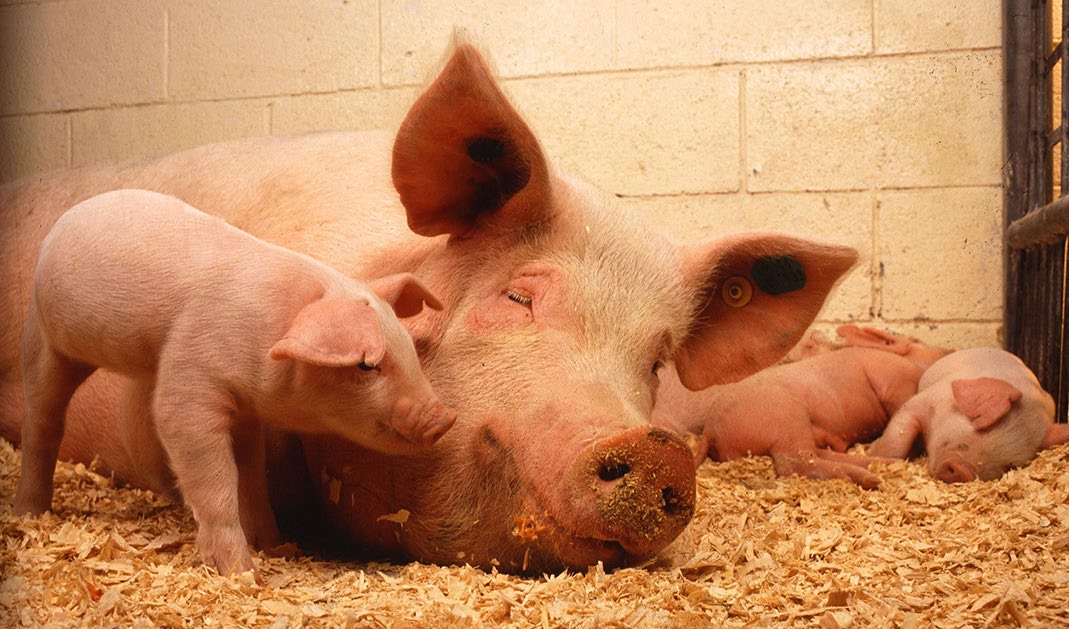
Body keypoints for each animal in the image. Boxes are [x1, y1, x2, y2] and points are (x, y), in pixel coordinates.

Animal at [13, 189, 455, 576]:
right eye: (366, 366)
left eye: (408, 347)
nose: (444, 418)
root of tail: (64, 221)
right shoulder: (189, 377)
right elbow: (213, 476)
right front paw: (241, 571)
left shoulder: (246, 412)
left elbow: (252, 478)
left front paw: (276, 547)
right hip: (44, 339)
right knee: (42, 421)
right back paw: (30, 513)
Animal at [653, 348, 925, 488]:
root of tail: (710, 429)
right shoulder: (894, 384)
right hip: (788, 416)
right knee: (794, 463)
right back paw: (865, 478)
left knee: (814, 455)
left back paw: (879, 469)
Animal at [868, 347, 1069, 482]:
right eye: (981, 426)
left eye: (1009, 465)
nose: (963, 471)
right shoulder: (922, 401)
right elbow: (898, 437)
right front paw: (880, 458)